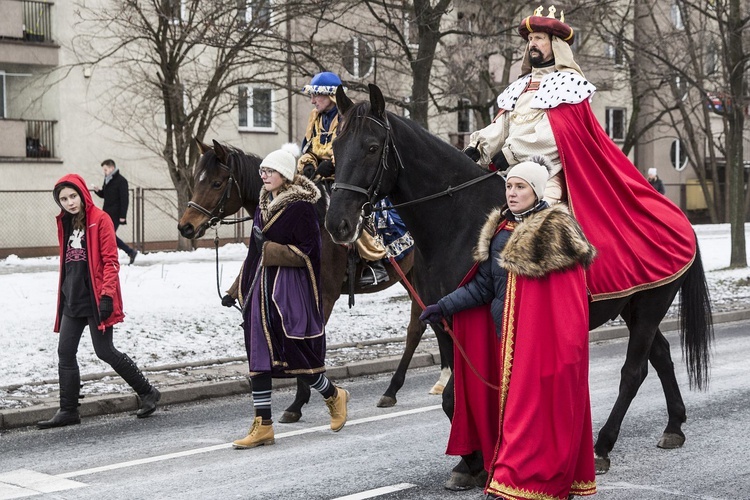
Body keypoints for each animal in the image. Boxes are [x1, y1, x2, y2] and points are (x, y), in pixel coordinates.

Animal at [179, 138, 456, 422]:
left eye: (216, 183)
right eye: (197, 180)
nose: (186, 226)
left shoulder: (324, 294)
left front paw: (298, 402)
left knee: (416, 328)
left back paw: (398, 387)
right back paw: (431, 380)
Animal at [326, 84, 712, 486]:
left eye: (372, 147)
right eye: (336, 145)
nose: (337, 223)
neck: (457, 221)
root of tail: (676, 214)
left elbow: (477, 390)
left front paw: (484, 460)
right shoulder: (443, 320)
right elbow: (455, 397)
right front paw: (470, 462)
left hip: (651, 305)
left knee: (633, 373)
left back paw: (602, 446)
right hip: (632, 307)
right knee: (662, 356)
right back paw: (674, 426)